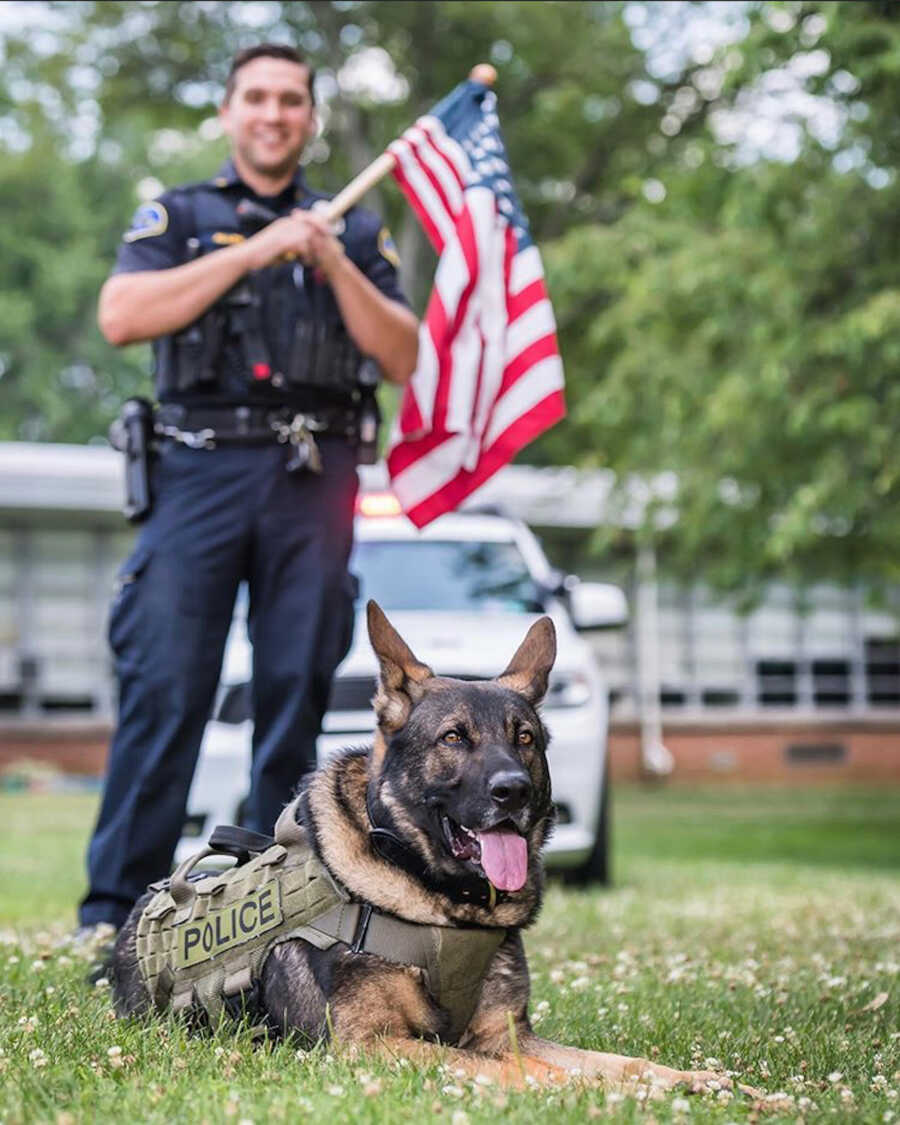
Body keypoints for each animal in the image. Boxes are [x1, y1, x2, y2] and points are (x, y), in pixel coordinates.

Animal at [112, 603, 747, 1093]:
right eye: (453, 737)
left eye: (525, 738)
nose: (513, 790)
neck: (441, 899)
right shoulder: (370, 1045)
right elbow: (526, 1072)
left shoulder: (509, 1034)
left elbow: (624, 1063)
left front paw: (707, 1085)